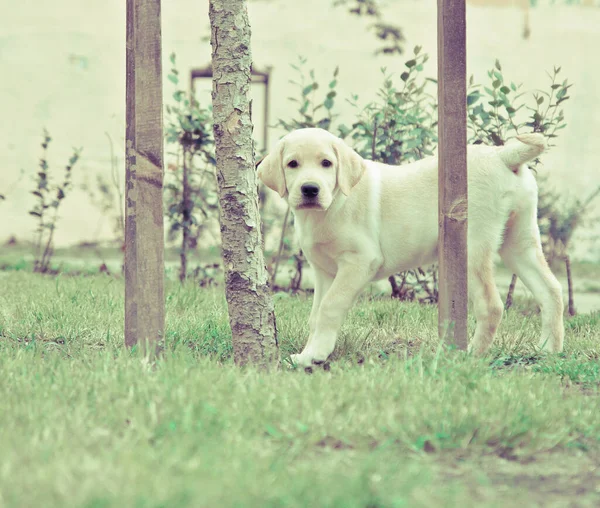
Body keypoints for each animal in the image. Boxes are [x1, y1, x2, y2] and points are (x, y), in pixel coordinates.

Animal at [256, 126, 564, 366]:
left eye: (326, 163)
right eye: (292, 164)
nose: (310, 189)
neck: (332, 204)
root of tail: (501, 154)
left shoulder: (360, 261)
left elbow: (330, 306)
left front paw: (316, 355)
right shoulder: (324, 271)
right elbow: (315, 314)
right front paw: (308, 354)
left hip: (472, 244)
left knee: (492, 306)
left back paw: (470, 357)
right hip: (519, 242)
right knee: (551, 290)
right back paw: (548, 350)